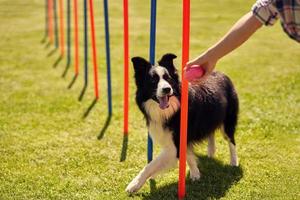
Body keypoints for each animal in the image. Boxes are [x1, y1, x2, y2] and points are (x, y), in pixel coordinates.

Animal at [125, 53, 238, 194]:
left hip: (228, 121)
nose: (167, 89)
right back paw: (211, 152)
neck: (170, 111)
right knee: (211, 133)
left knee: (231, 140)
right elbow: (188, 155)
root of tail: (222, 74)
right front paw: (195, 173)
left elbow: (151, 165)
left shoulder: (174, 145)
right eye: (153, 80)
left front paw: (134, 184)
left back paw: (234, 161)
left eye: (168, 78)